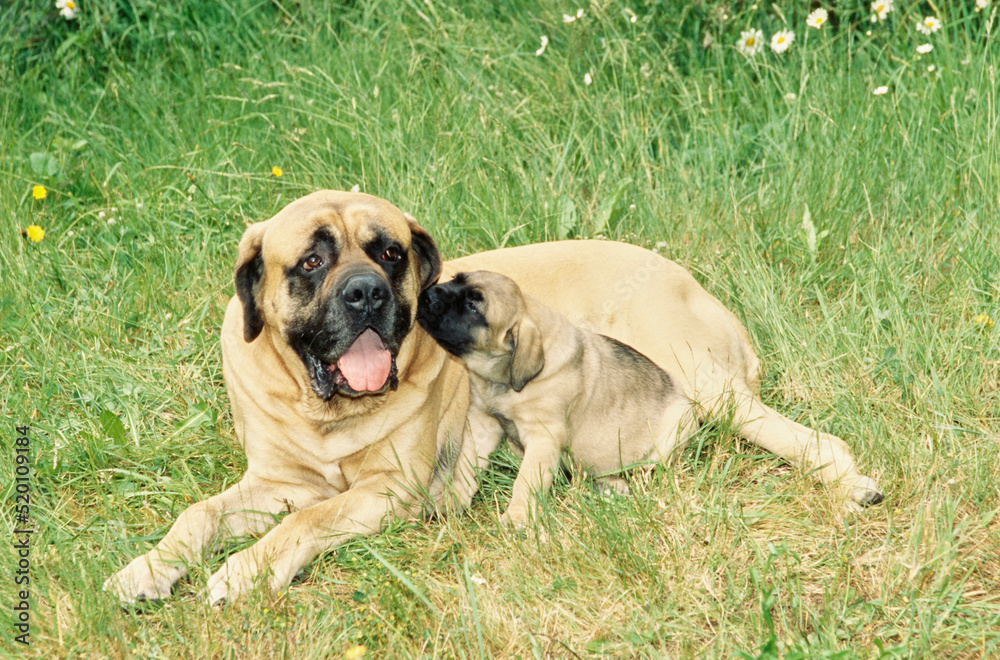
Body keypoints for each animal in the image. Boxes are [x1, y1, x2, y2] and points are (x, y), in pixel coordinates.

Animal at [103, 189, 884, 604]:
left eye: (388, 252)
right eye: (313, 260)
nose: (367, 295)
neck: (324, 413)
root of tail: (697, 286)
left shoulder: (385, 490)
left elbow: (304, 524)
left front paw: (246, 569)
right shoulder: (271, 482)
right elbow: (197, 515)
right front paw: (145, 569)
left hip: (707, 386)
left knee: (813, 440)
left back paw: (851, 484)